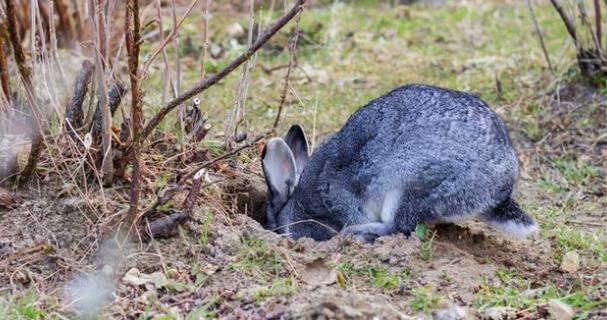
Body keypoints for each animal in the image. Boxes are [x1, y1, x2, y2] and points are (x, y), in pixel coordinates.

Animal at [262, 84, 536, 241]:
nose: (272, 230)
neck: (295, 204)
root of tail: (500, 188)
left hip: (410, 186)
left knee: (397, 226)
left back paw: (356, 234)